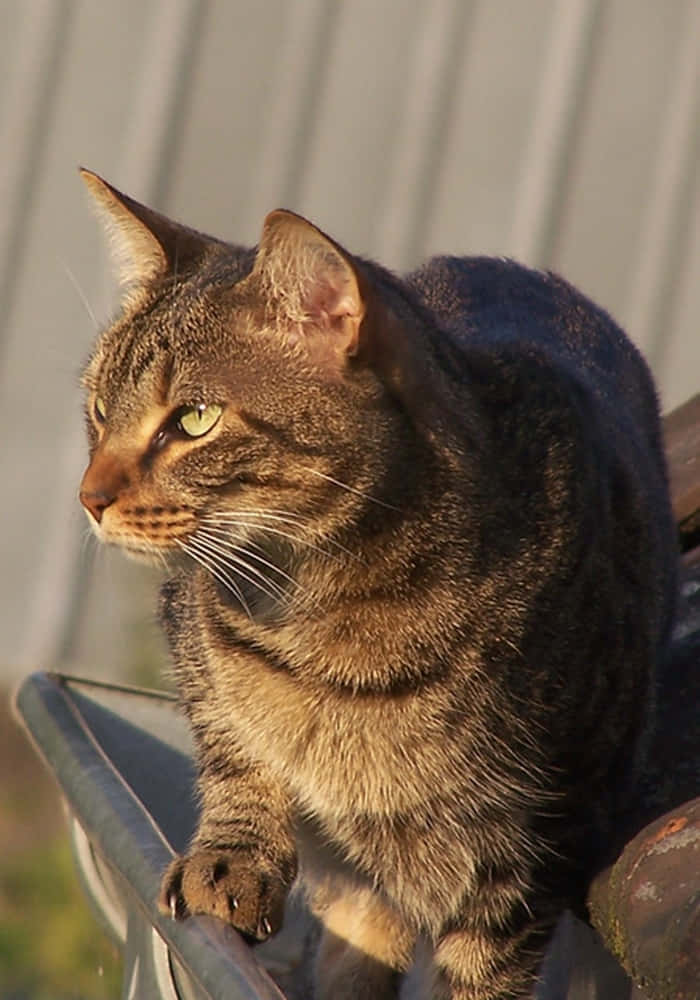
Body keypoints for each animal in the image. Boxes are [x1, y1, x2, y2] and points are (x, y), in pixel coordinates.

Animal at [78, 168, 680, 996]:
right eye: (100, 410)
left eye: (194, 419)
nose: (89, 496)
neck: (333, 613)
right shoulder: (195, 637)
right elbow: (237, 748)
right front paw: (233, 856)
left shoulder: (531, 848)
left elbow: (484, 973)